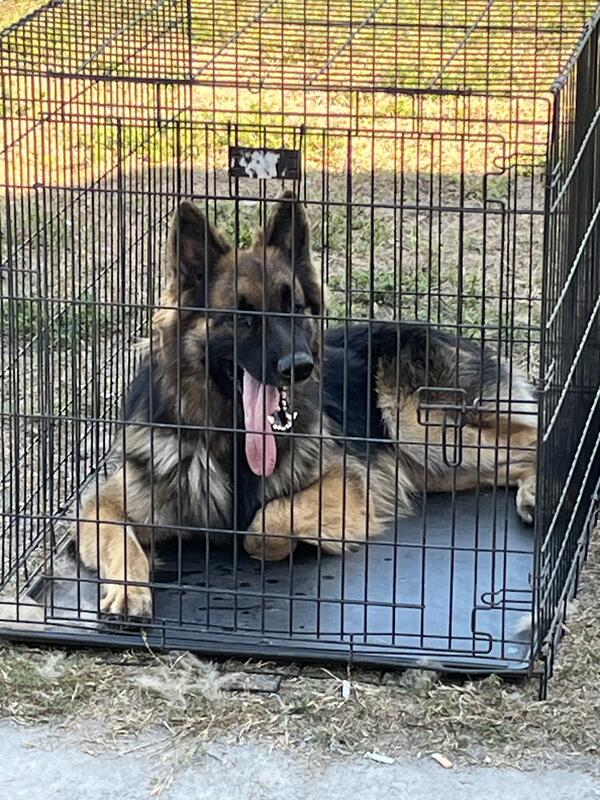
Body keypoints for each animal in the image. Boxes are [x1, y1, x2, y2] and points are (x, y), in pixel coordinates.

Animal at [75, 191, 538, 618]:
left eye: (295, 308)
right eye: (242, 317)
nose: (299, 366)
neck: (231, 443)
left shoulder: (347, 484)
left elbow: (264, 524)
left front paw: (282, 546)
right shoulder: (103, 506)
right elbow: (121, 542)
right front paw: (129, 591)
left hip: (417, 427)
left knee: (533, 440)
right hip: (432, 463)